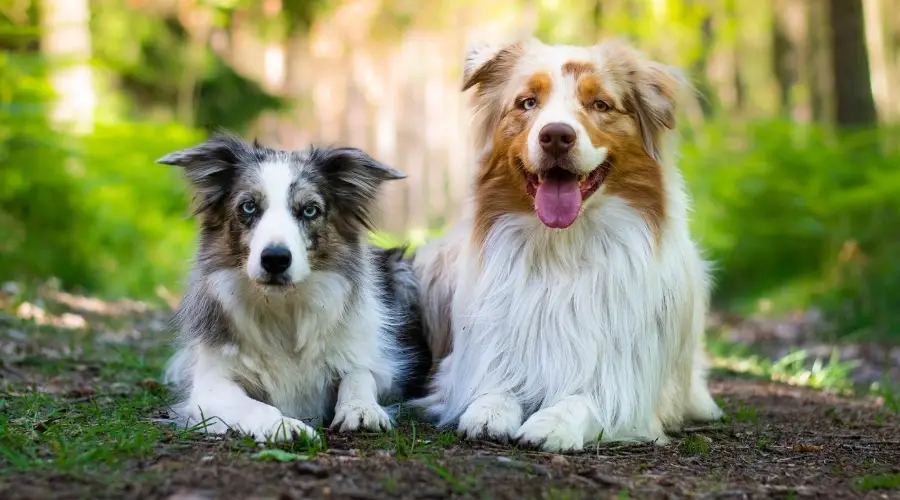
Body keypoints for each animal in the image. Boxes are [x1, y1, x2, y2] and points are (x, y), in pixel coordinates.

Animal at [160, 133, 430, 442]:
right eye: (248, 207)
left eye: (310, 210)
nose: (275, 259)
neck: (284, 306)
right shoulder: (209, 386)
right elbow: (253, 405)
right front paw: (283, 425)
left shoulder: (379, 364)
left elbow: (360, 375)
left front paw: (362, 409)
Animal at [414, 39, 724, 452]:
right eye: (528, 102)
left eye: (601, 105)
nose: (557, 136)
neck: (561, 249)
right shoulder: (475, 361)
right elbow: (495, 385)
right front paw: (488, 412)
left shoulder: (626, 383)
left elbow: (585, 401)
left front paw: (552, 424)